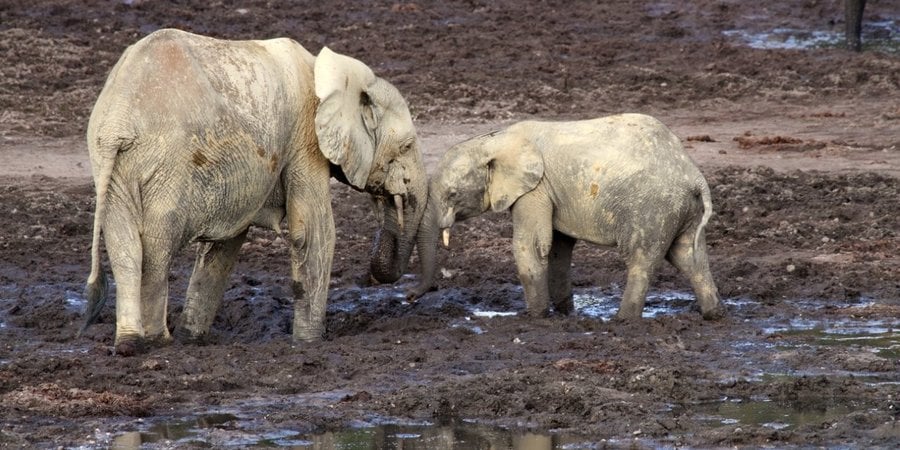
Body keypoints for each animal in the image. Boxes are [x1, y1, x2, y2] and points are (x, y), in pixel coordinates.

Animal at [79, 29, 427, 355]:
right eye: (407, 146)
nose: (387, 197)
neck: (333, 72)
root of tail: (117, 122)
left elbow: (224, 244)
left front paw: (193, 338)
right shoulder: (304, 139)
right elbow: (313, 232)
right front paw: (309, 342)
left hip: (114, 167)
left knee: (124, 246)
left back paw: (129, 343)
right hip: (168, 163)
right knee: (157, 246)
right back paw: (157, 341)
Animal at [411, 114, 725, 321]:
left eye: (452, 194)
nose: (410, 297)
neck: (494, 139)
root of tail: (694, 175)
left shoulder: (534, 189)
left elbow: (531, 245)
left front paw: (536, 317)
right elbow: (558, 249)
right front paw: (564, 314)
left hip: (654, 207)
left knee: (642, 258)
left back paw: (622, 321)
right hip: (682, 208)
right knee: (689, 256)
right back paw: (713, 314)